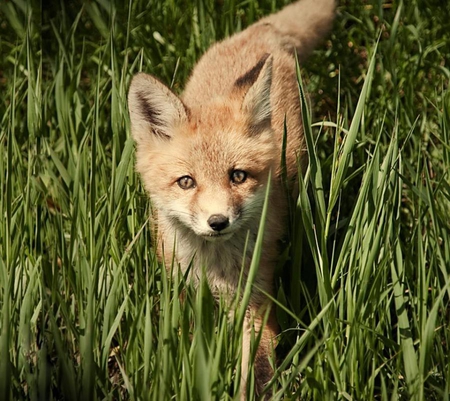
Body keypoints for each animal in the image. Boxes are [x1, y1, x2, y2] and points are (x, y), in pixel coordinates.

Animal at [127, 0, 334, 396]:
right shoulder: (181, 294)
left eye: (237, 176)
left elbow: (255, 367)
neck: (214, 269)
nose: (218, 222)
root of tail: (260, 33)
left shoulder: (256, 303)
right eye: (186, 182)